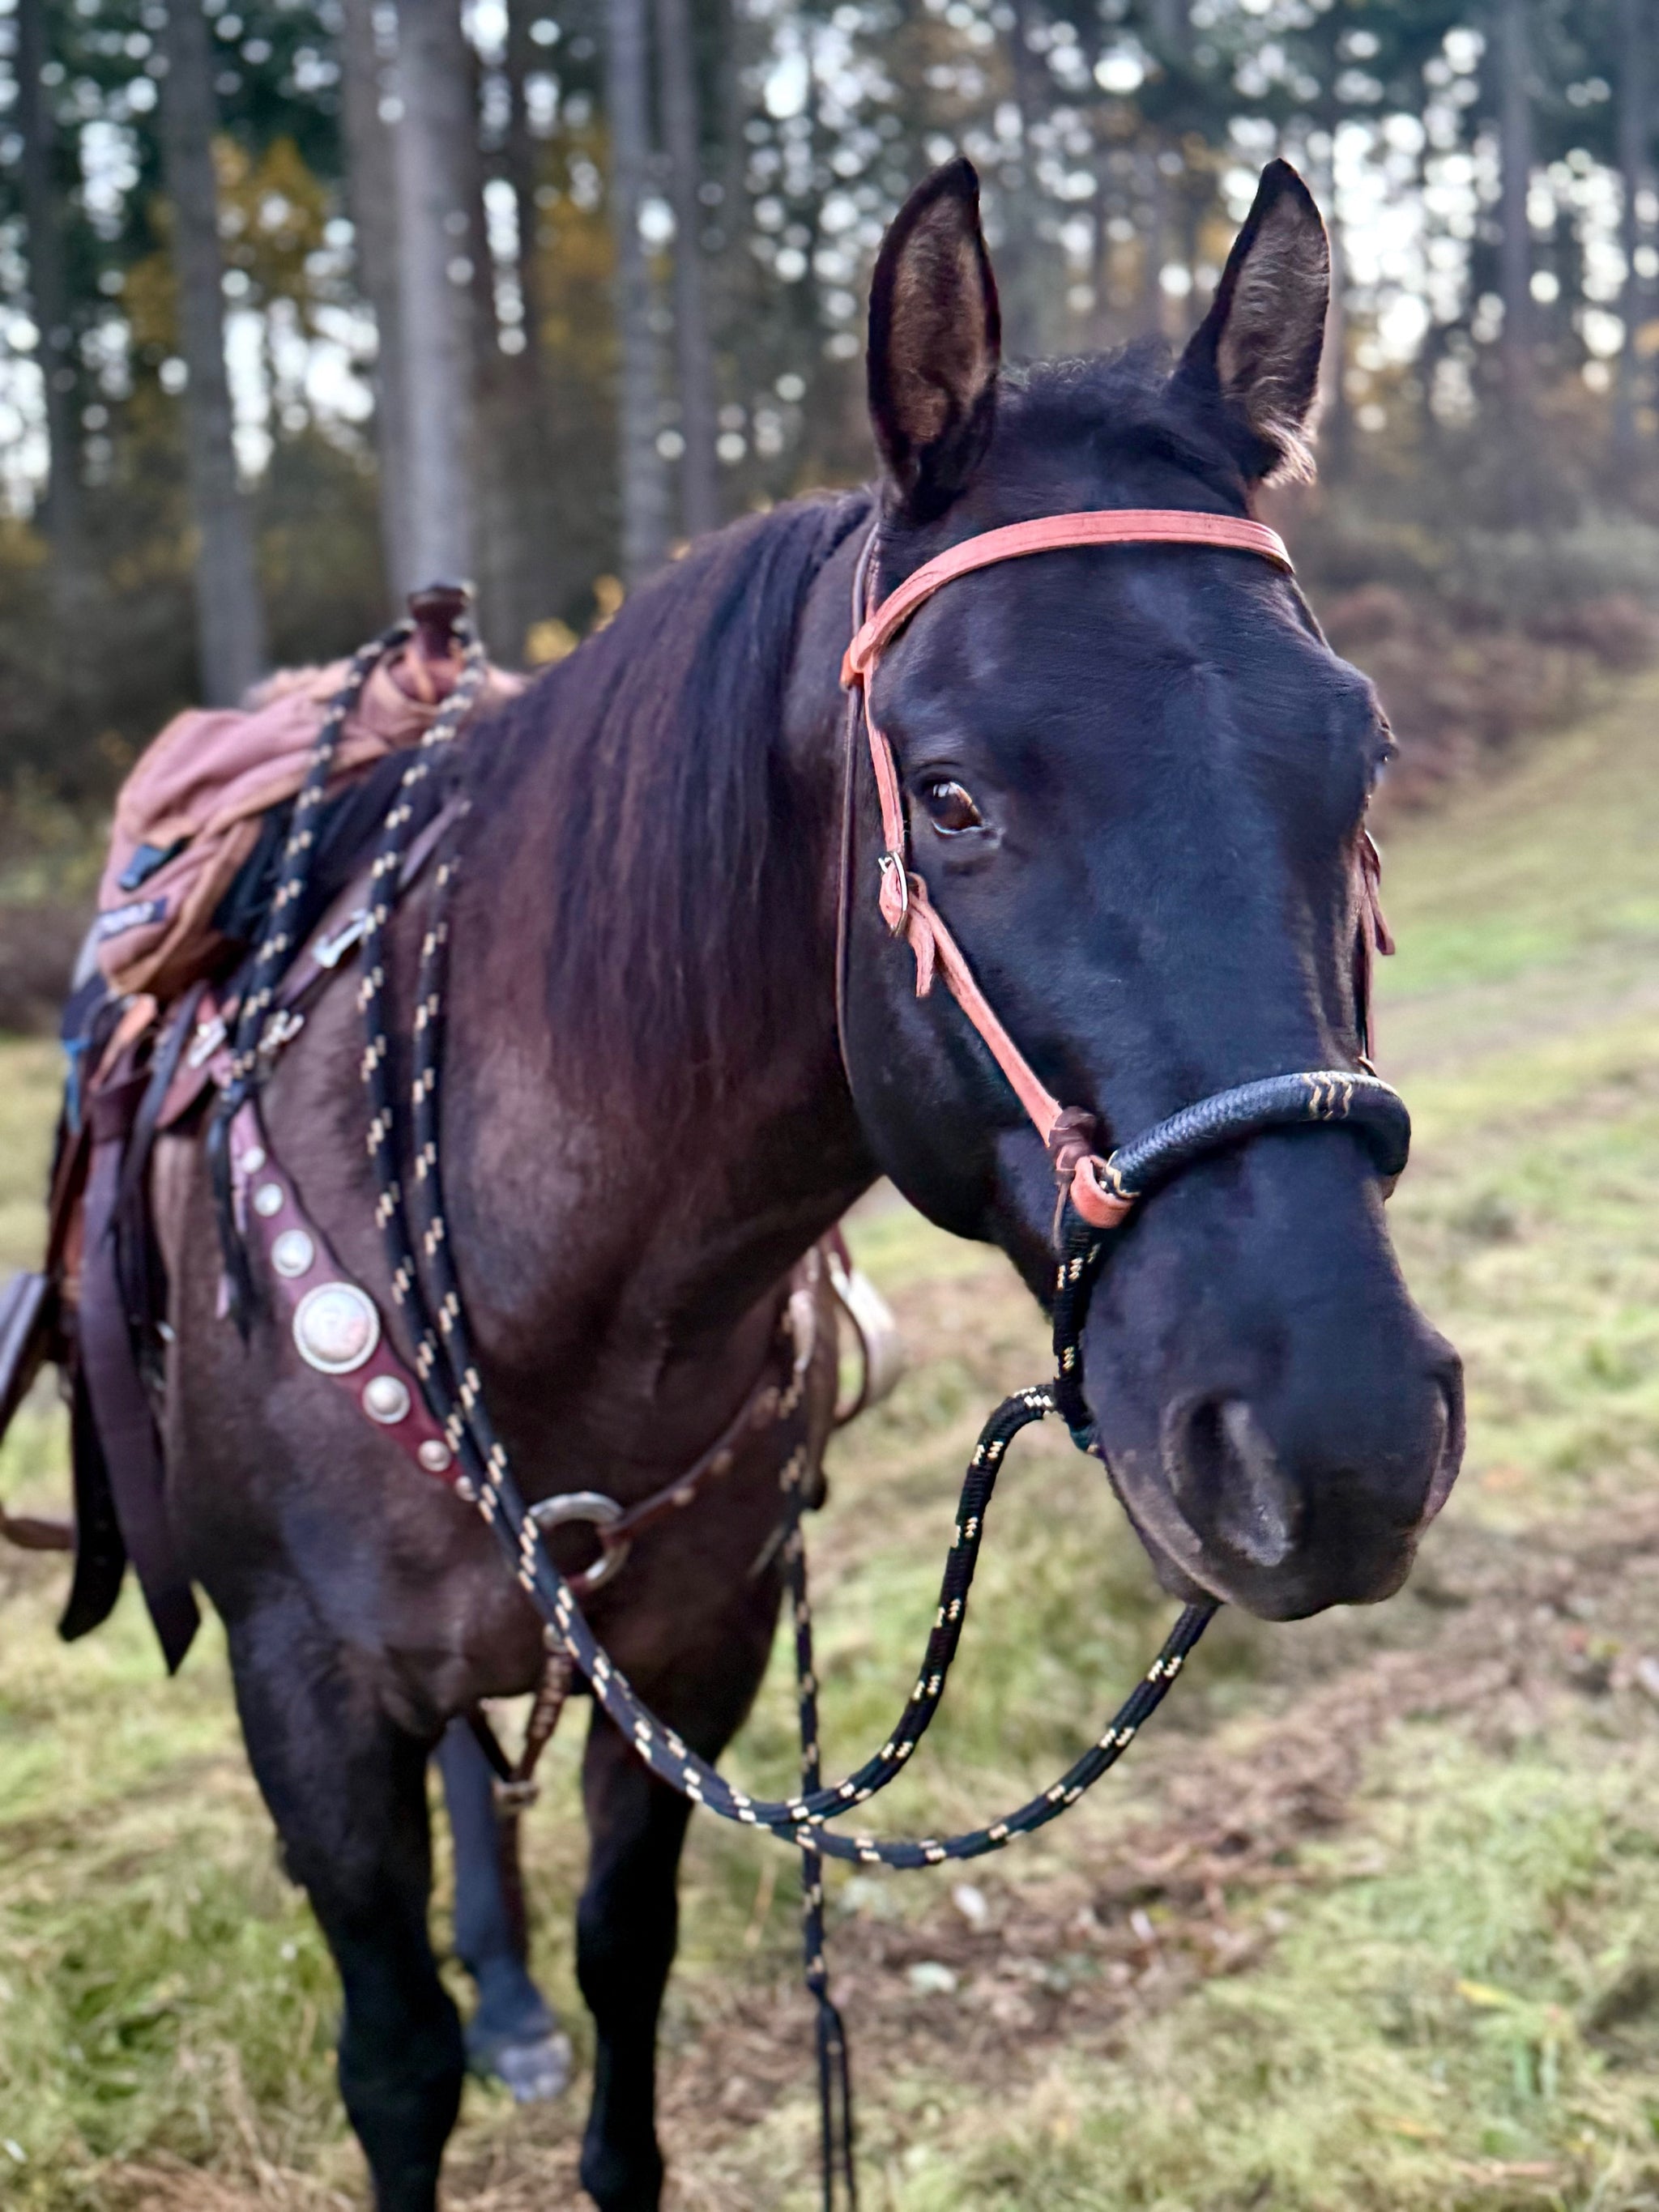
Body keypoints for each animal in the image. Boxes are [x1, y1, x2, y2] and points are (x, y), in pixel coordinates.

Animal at [149, 154, 1463, 2211]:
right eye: (947, 795)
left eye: (1363, 753)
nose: (1333, 1444)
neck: (550, 1287)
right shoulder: (302, 1702)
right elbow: (392, 2065)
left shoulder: (692, 1657)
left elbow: (628, 1971)